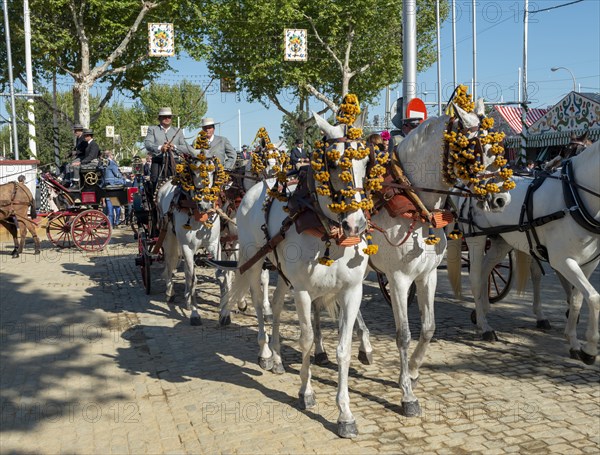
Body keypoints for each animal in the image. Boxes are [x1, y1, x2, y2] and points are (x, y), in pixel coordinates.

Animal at [157, 159, 225, 326]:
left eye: (213, 172)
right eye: (192, 172)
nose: (205, 204)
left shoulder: (214, 245)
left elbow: (220, 275)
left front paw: (224, 313)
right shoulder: (187, 246)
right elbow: (193, 278)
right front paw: (195, 313)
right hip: (169, 239)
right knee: (169, 263)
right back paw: (170, 292)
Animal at [218, 112, 372, 440]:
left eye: (366, 161)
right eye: (333, 163)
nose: (356, 224)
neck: (328, 233)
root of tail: (257, 187)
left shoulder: (352, 291)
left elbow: (343, 350)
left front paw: (345, 414)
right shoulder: (302, 291)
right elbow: (307, 340)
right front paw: (306, 392)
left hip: (281, 272)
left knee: (275, 307)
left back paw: (277, 357)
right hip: (254, 261)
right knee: (260, 304)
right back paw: (265, 352)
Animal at [448, 142, 596, 364]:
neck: (573, 198)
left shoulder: (587, 263)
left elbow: (581, 297)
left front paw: (575, 341)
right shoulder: (562, 259)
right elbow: (593, 298)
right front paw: (590, 349)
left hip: (501, 241)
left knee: (486, 271)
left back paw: (482, 310)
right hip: (476, 238)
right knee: (475, 277)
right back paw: (484, 326)